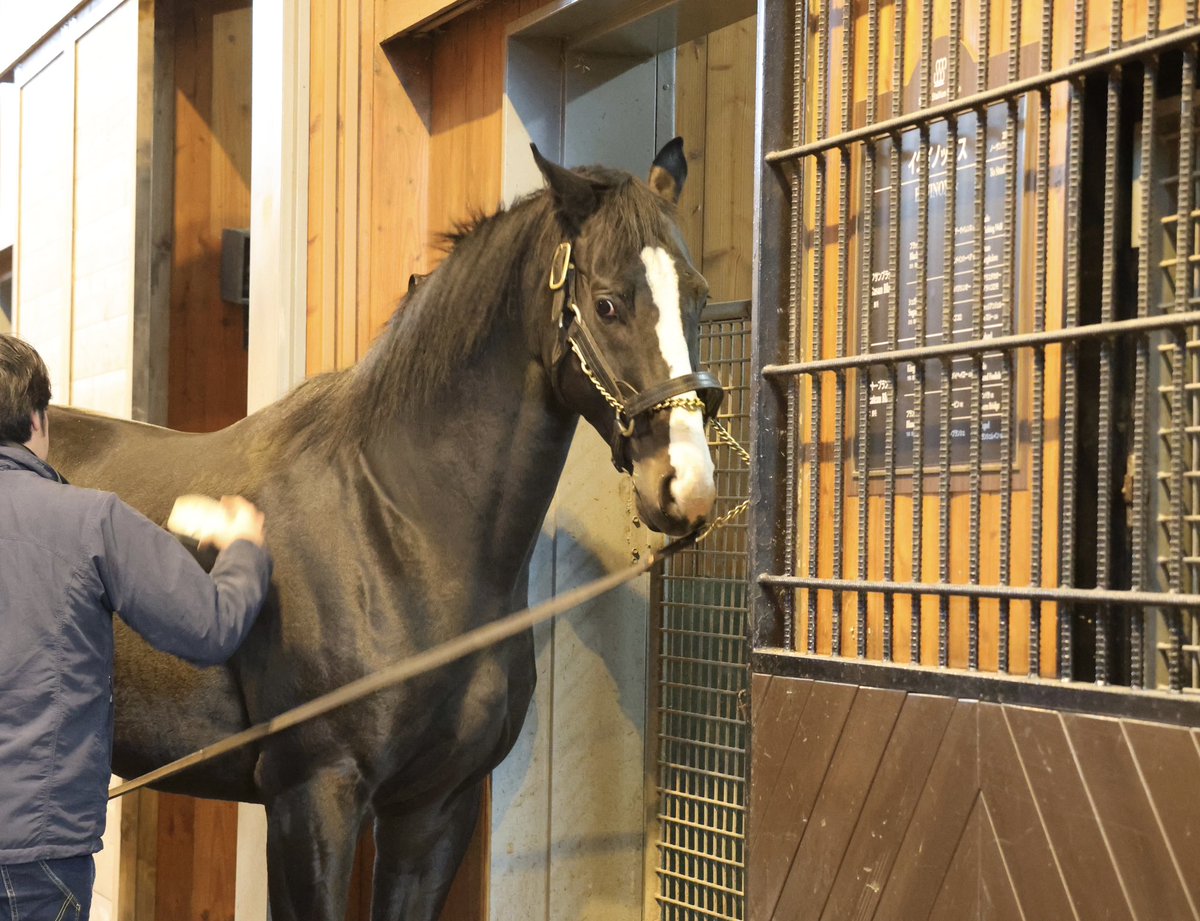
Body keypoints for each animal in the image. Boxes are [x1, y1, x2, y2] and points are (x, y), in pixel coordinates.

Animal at [46, 139, 722, 921]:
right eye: (608, 303)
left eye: (699, 296)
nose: (688, 486)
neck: (397, 534)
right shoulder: (313, 797)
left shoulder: (435, 807)